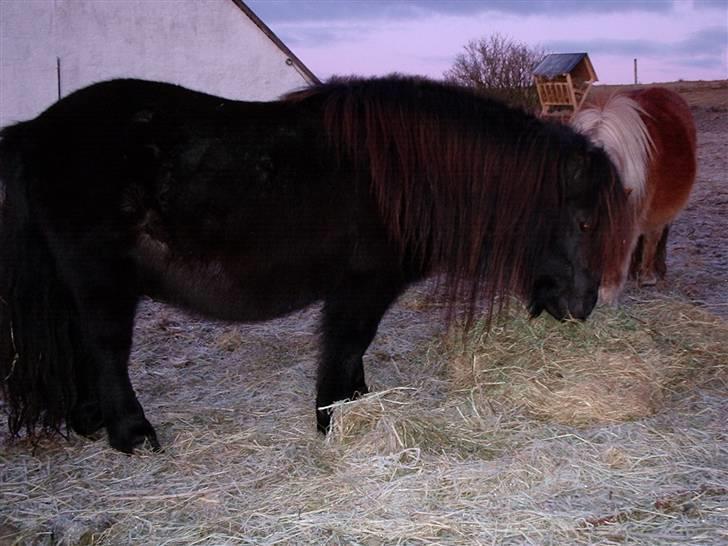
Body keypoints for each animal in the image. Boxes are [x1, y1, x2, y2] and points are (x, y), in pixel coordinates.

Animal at [0, 75, 628, 450]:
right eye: (584, 221)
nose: (585, 304)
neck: (408, 177)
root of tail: (36, 131)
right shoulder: (362, 286)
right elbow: (346, 345)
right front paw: (331, 419)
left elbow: (354, 352)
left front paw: (355, 404)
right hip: (101, 280)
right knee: (106, 349)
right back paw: (131, 433)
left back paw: (89, 420)